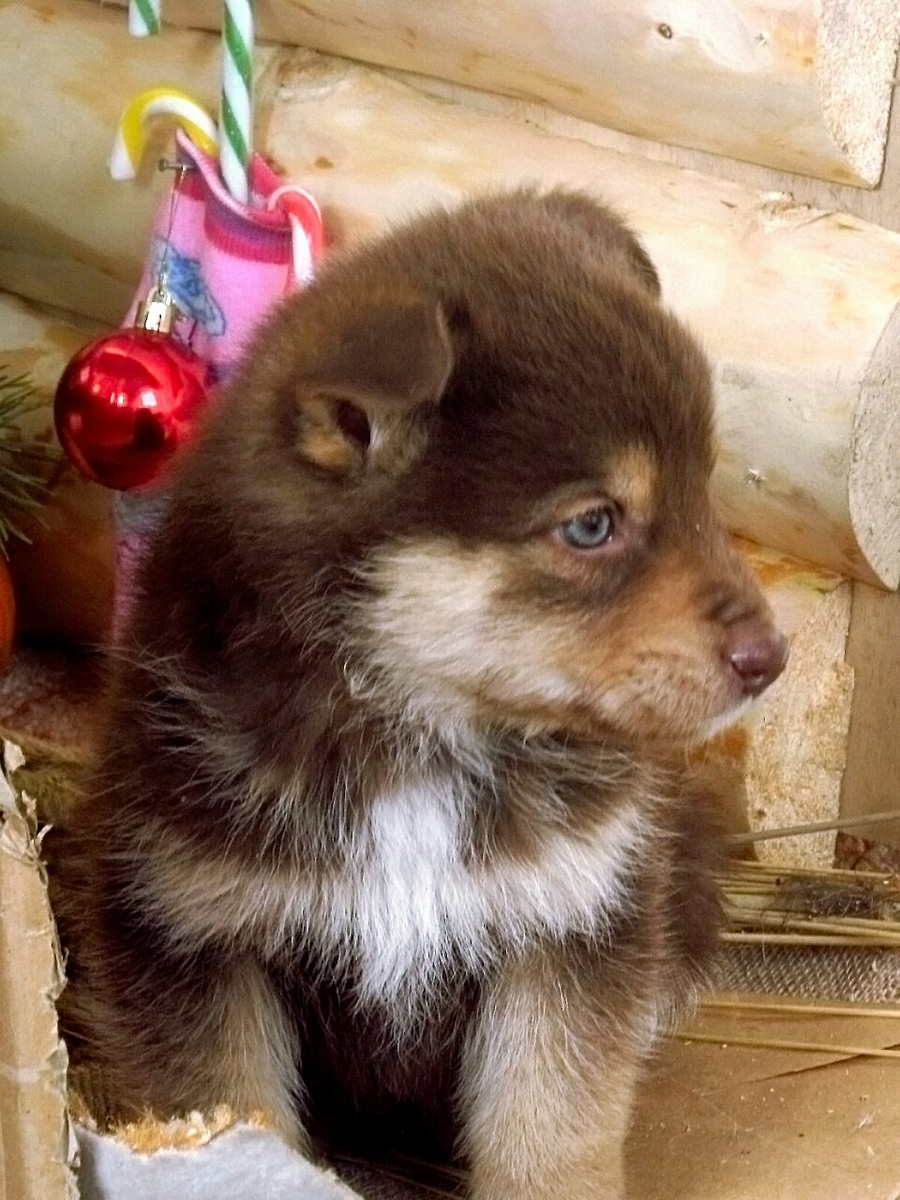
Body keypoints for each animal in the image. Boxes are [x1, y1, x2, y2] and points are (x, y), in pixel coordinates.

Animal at [53, 189, 787, 1199]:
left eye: (700, 488)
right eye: (592, 524)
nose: (772, 656)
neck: (417, 738)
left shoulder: (571, 917)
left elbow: (551, 1132)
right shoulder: (192, 934)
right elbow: (241, 1123)